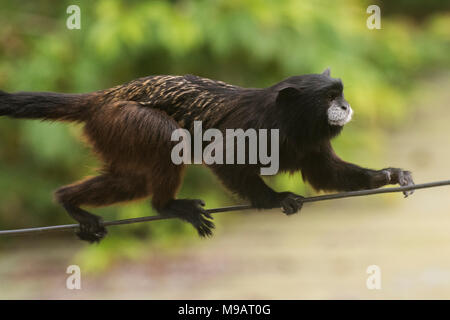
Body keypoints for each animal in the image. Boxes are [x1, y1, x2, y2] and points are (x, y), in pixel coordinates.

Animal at [0, 68, 414, 242]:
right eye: (330, 97)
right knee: (167, 138)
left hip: (112, 128)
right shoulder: (256, 127)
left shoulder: (309, 140)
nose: (344, 106)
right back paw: (166, 205)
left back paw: (69, 202)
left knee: (130, 180)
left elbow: (325, 174)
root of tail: (105, 97)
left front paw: (386, 176)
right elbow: (222, 158)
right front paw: (274, 198)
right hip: (124, 119)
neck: (288, 118)